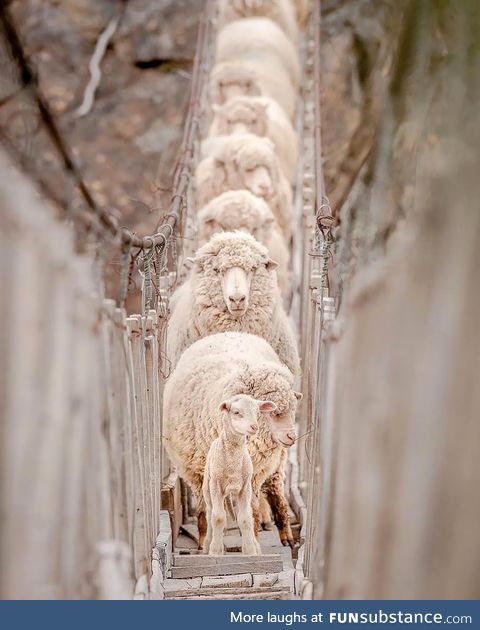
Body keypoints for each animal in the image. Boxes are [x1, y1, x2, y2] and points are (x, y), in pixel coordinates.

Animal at [202, 398, 278, 556]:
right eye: (236, 412)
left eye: (257, 412)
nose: (254, 427)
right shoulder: (216, 485)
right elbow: (218, 518)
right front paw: (215, 551)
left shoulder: (245, 487)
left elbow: (245, 519)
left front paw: (250, 550)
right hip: (207, 488)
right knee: (209, 513)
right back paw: (207, 545)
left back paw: (256, 545)